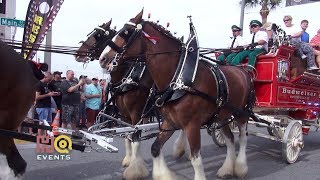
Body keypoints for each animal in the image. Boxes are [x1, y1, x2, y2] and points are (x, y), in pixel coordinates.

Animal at [100, 10, 255, 179]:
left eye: (126, 32)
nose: (103, 58)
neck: (179, 79)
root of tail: (242, 70)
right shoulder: (170, 122)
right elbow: (155, 148)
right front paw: (163, 174)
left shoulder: (192, 125)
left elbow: (196, 159)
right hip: (222, 115)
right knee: (230, 139)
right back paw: (226, 169)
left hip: (241, 113)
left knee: (243, 138)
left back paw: (240, 167)